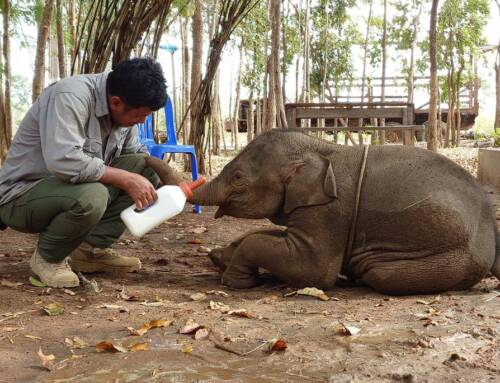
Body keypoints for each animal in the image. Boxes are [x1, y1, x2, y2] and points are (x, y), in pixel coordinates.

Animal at [186, 130, 498, 296]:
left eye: (238, 177)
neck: (321, 148)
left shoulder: (330, 211)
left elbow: (313, 271)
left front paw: (235, 280)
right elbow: (269, 233)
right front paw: (220, 257)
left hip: (452, 258)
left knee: (378, 273)